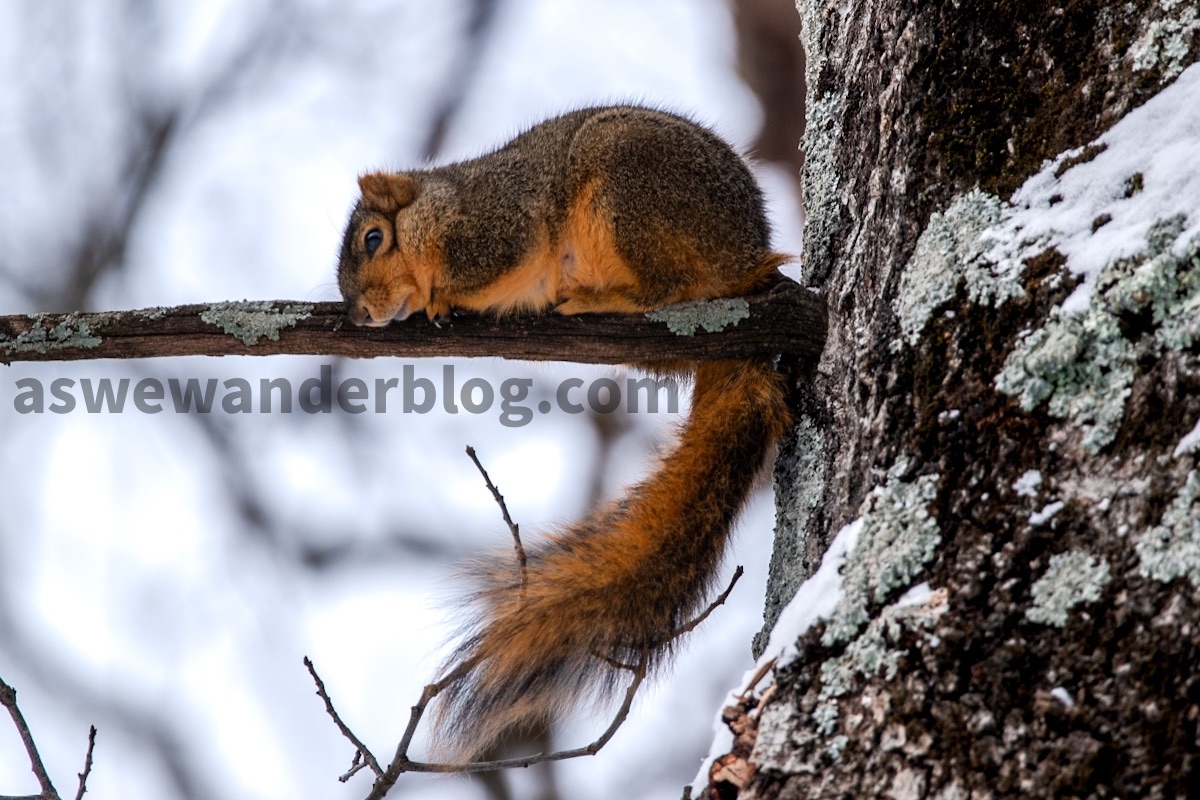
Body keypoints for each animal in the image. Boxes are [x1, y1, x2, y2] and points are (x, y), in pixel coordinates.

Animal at [337, 105, 792, 761]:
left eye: (373, 239)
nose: (359, 316)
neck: (443, 203)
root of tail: (747, 262)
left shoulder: (498, 224)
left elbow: (485, 264)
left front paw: (440, 300)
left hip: (634, 192)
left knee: (666, 291)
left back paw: (605, 298)